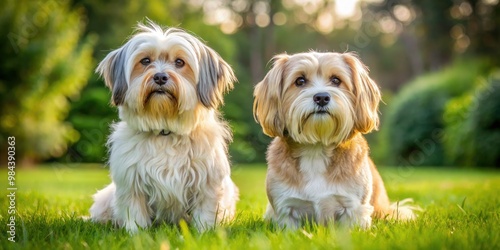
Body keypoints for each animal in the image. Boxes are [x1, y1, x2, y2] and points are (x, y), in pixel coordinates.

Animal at [90, 21, 238, 234]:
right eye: (145, 61)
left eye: (179, 62)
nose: (160, 77)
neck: (165, 132)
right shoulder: (131, 184)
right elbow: (135, 215)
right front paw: (136, 234)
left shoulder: (207, 184)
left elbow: (205, 213)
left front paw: (204, 233)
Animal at [254, 51, 414, 229]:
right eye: (300, 81)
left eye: (336, 80)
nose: (322, 97)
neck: (316, 149)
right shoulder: (285, 209)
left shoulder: (353, 207)